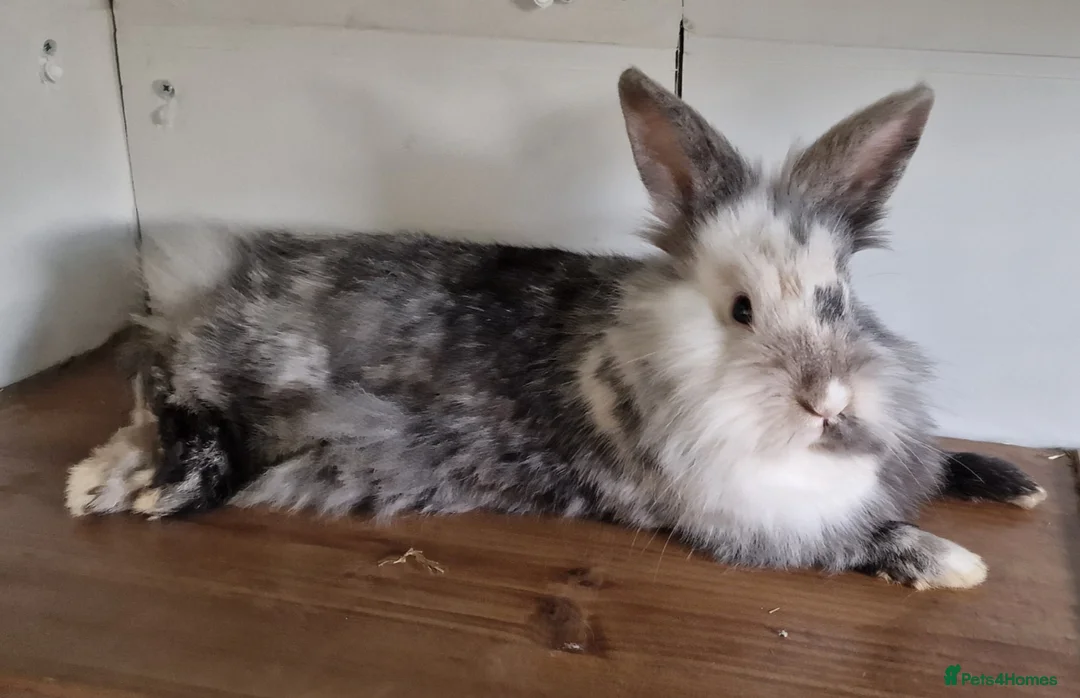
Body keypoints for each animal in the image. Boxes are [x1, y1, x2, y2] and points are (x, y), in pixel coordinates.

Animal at [65, 67, 1047, 590]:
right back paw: (157, 492)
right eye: (739, 310)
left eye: (837, 297)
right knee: (176, 396)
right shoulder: (749, 525)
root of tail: (215, 281)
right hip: (248, 373)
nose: (828, 402)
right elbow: (857, 543)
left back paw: (105, 483)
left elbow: (944, 466)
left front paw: (1018, 485)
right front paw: (956, 562)